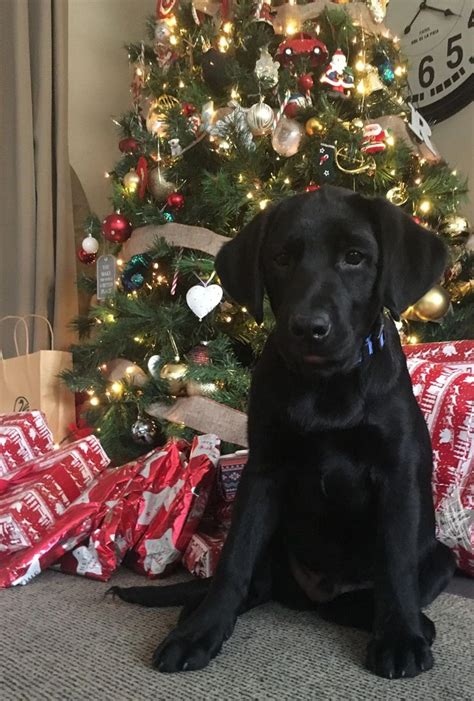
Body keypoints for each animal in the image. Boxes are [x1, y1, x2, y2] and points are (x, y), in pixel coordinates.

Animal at [111, 186, 456, 680]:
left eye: (355, 257)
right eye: (280, 258)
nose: (309, 328)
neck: (325, 385)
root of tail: (309, 594)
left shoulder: (397, 475)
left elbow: (396, 565)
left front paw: (400, 637)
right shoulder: (263, 473)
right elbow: (233, 562)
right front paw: (200, 632)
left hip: (441, 558)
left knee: (360, 598)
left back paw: (410, 623)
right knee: (254, 584)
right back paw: (196, 611)